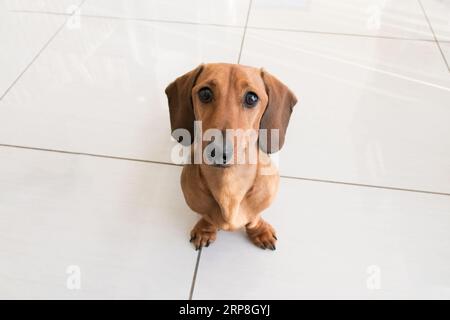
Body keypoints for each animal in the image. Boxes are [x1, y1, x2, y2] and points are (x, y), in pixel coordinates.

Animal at [163, 63, 298, 250]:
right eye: (205, 93)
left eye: (252, 98)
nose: (220, 152)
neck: (228, 184)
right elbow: (207, 217)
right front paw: (205, 230)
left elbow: (253, 219)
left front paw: (260, 231)